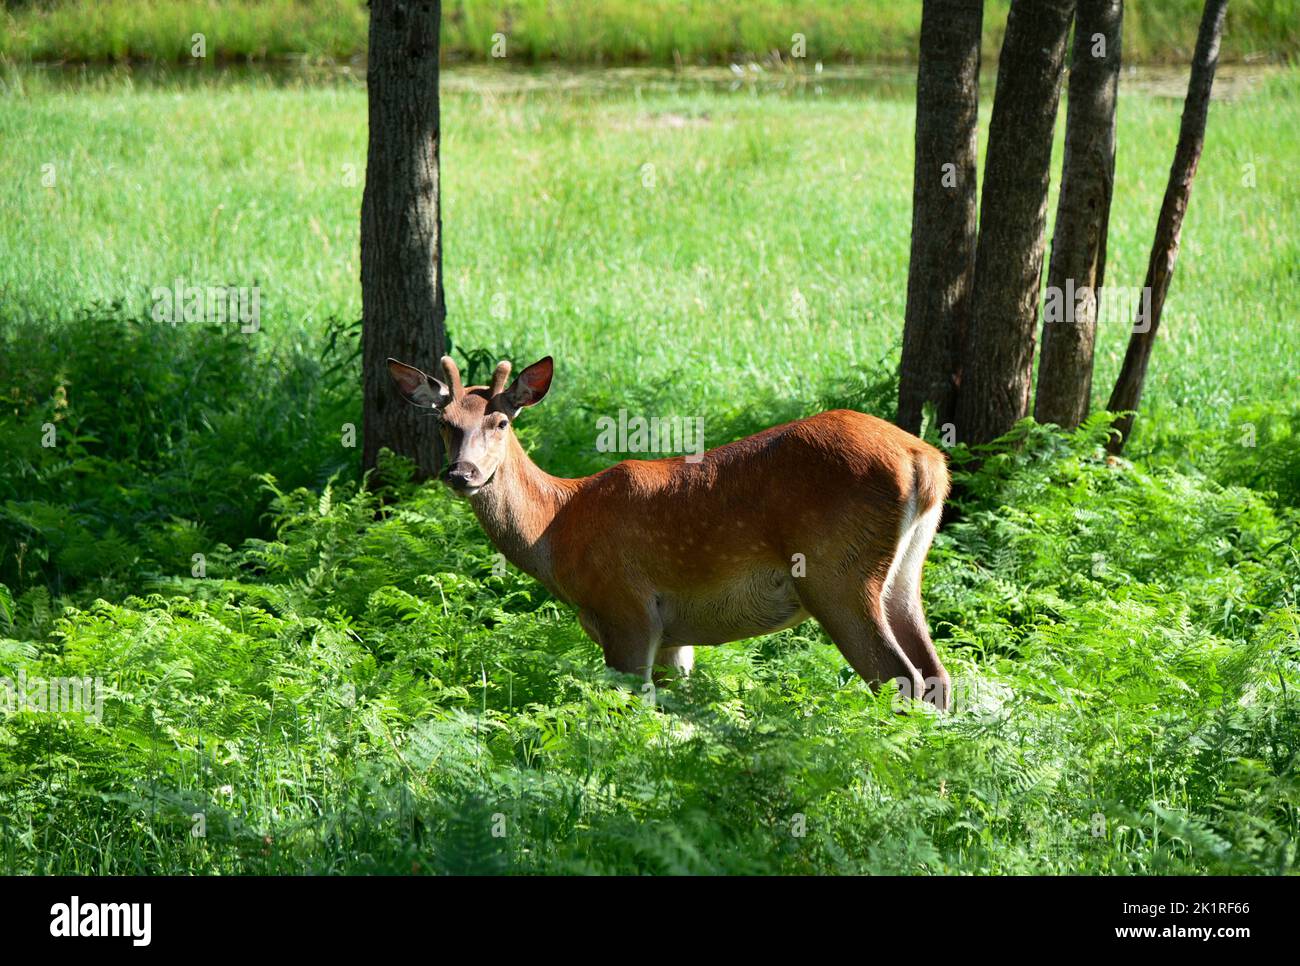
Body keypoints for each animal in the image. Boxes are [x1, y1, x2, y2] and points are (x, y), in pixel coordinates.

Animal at [387, 354, 953, 709]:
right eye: (445, 423)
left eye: (501, 422)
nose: (461, 474)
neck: (556, 528)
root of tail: (925, 461)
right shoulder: (675, 637)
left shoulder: (627, 610)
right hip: (903, 573)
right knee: (937, 676)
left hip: (837, 574)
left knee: (900, 678)